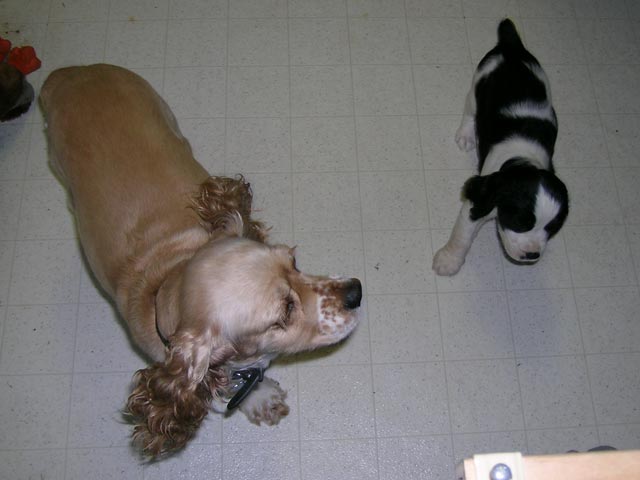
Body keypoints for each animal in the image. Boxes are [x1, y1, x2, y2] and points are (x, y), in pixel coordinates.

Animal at [432, 18, 568, 276]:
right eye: (520, 222)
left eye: (551, 228)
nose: (532, 255)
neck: (523, 159)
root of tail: (512, 47)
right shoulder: (478, 202)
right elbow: (462, 236)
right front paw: (448, 261)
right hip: (477, 85)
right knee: (470, 110)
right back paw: (465, 135)